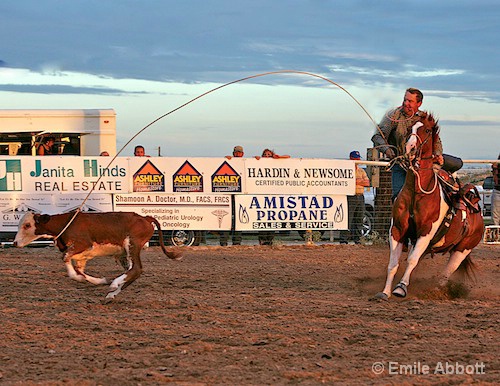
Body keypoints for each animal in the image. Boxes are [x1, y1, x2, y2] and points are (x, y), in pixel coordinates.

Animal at [12, 213, 183, 304]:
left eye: (27, 225)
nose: (14, 243)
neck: (65, 224)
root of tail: (145, 218)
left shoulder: (82, 244)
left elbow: (66, 259)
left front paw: (84, 279)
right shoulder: (81, 257)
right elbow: (80, 271)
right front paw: (100, 281)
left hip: (132, 244)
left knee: (136, 269)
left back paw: (114, 285)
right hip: (125, 253)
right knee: (132, 272)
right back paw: (111, 293)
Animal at [376, 113, 484, 300]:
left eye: (427, 130)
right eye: (410, 127)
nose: (411, 148)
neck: (417, 192)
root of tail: (478, 214)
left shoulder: (425, 233)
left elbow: (411, 260)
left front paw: (400, 288)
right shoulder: (397, 230)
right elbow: (394, 264)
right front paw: (386, 291)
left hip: (462, 250)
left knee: (446, 273)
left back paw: (436, 290)